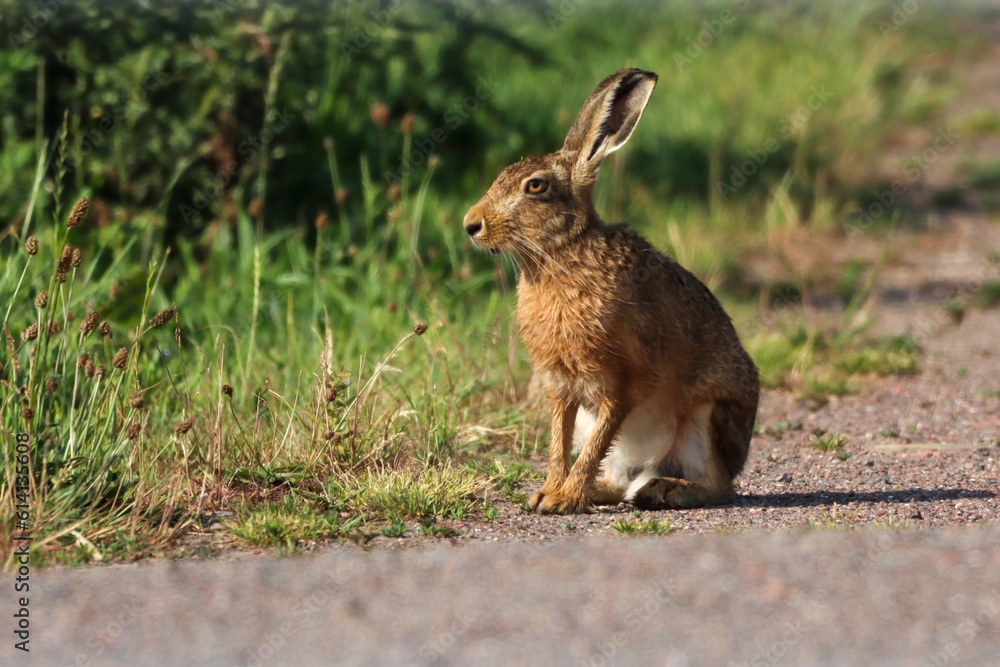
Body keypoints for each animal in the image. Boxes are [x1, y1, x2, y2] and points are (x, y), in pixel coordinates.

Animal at [463, 69, 759, 515]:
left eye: (536, 187)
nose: (471, 224)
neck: (562, 254)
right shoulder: (562, 388)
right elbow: (559, 441)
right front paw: (548, 493)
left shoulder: (622, 382)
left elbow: (595, 442)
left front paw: (564, 499)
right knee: (620, 481)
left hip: (708, 414)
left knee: (718, 486)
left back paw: (662, 490)